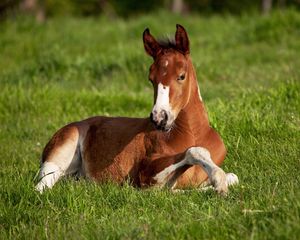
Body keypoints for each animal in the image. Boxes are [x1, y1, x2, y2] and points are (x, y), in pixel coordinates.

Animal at [35, 24, 238, 195]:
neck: (193, 133)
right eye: (151, 79)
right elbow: (192, 153)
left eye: (181, 76)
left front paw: (218, 185)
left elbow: (233, 177)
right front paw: (218, 181)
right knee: (41, 187)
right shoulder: (146, 173)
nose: (159, 118)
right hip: (59, 154)